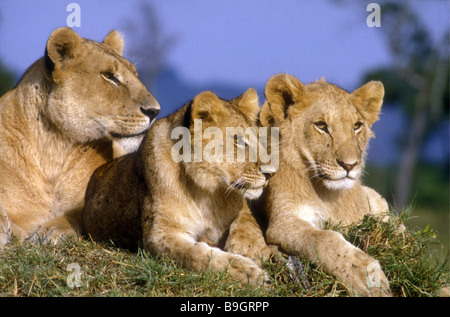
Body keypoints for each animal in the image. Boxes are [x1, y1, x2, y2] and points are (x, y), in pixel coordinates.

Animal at [0, 27, 160, 244]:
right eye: (109, 76)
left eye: (136, 75)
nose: (155, 111)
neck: (53, 146)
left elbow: (79, 213)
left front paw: (53, 230)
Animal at [83, 88, 272, 286]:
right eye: (239, 141)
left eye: (260, 140)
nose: (271, 173)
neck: (208, 192)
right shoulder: (159, 236)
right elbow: (197, 255)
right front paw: (249, 273)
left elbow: (246, 220)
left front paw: (250, 248)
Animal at [255, 74, 392, 296]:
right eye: (321, 125)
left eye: (356, 126)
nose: (350, 165)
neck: (328, 195)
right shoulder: (282, 222)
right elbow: (323, 239)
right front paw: (368, 278)